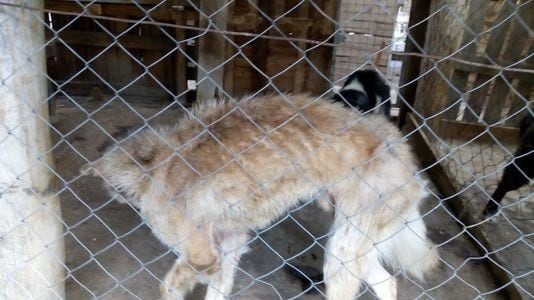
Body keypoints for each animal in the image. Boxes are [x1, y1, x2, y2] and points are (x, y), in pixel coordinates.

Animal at [85, 94, 440, 300]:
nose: (118, 197)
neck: (159, 164)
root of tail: (396, 141)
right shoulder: (229, 244)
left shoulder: (202, 255)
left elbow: (170, 286)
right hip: (351, 247)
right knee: (388, 283)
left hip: (341, 254)